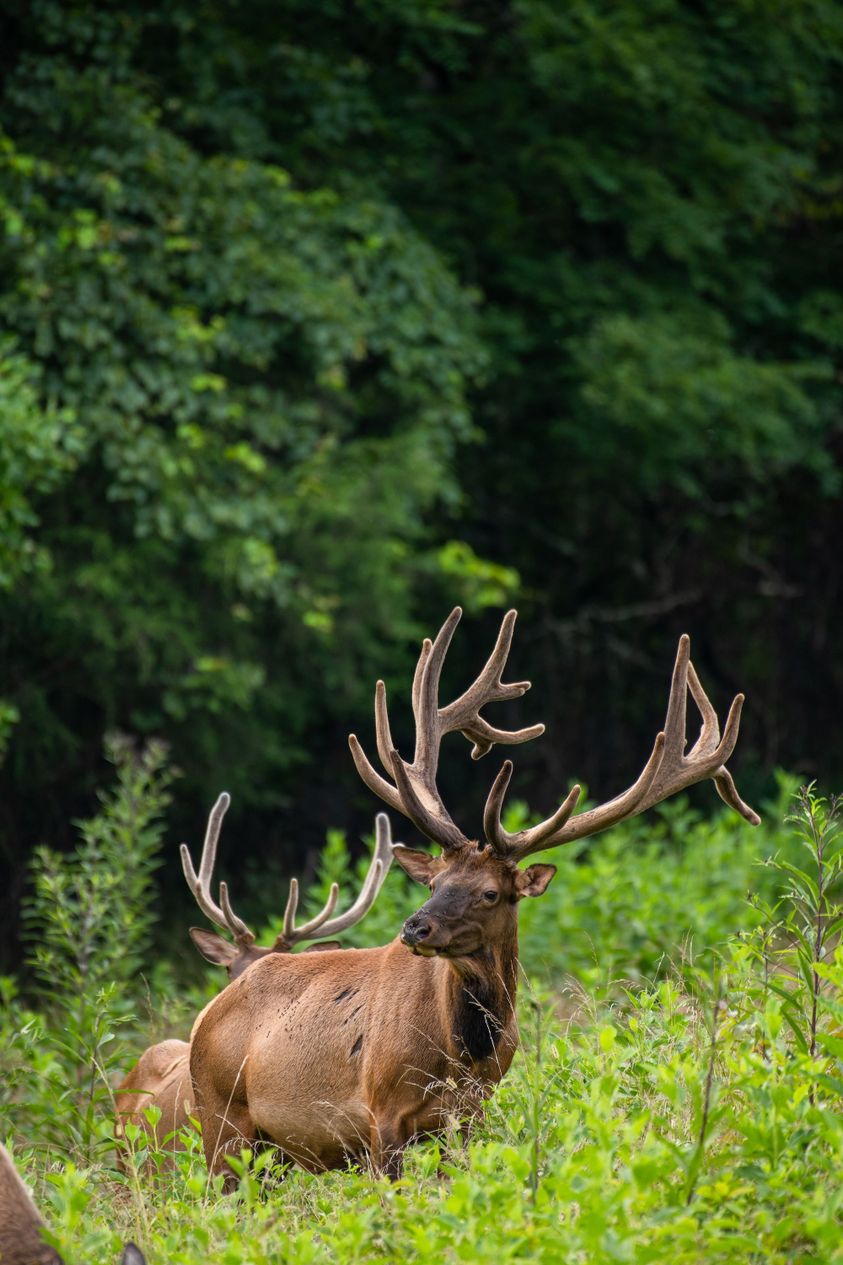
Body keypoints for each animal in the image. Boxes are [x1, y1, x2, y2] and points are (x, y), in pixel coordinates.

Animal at [189, 608, 759, 1182]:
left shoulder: (472, 1112)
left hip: (271, 1151)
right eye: (434, 883)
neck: (462, 1054)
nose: (415, 927)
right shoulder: (380, 1109)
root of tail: (205, 1015)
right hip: (221, 1118)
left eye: (490, 893)